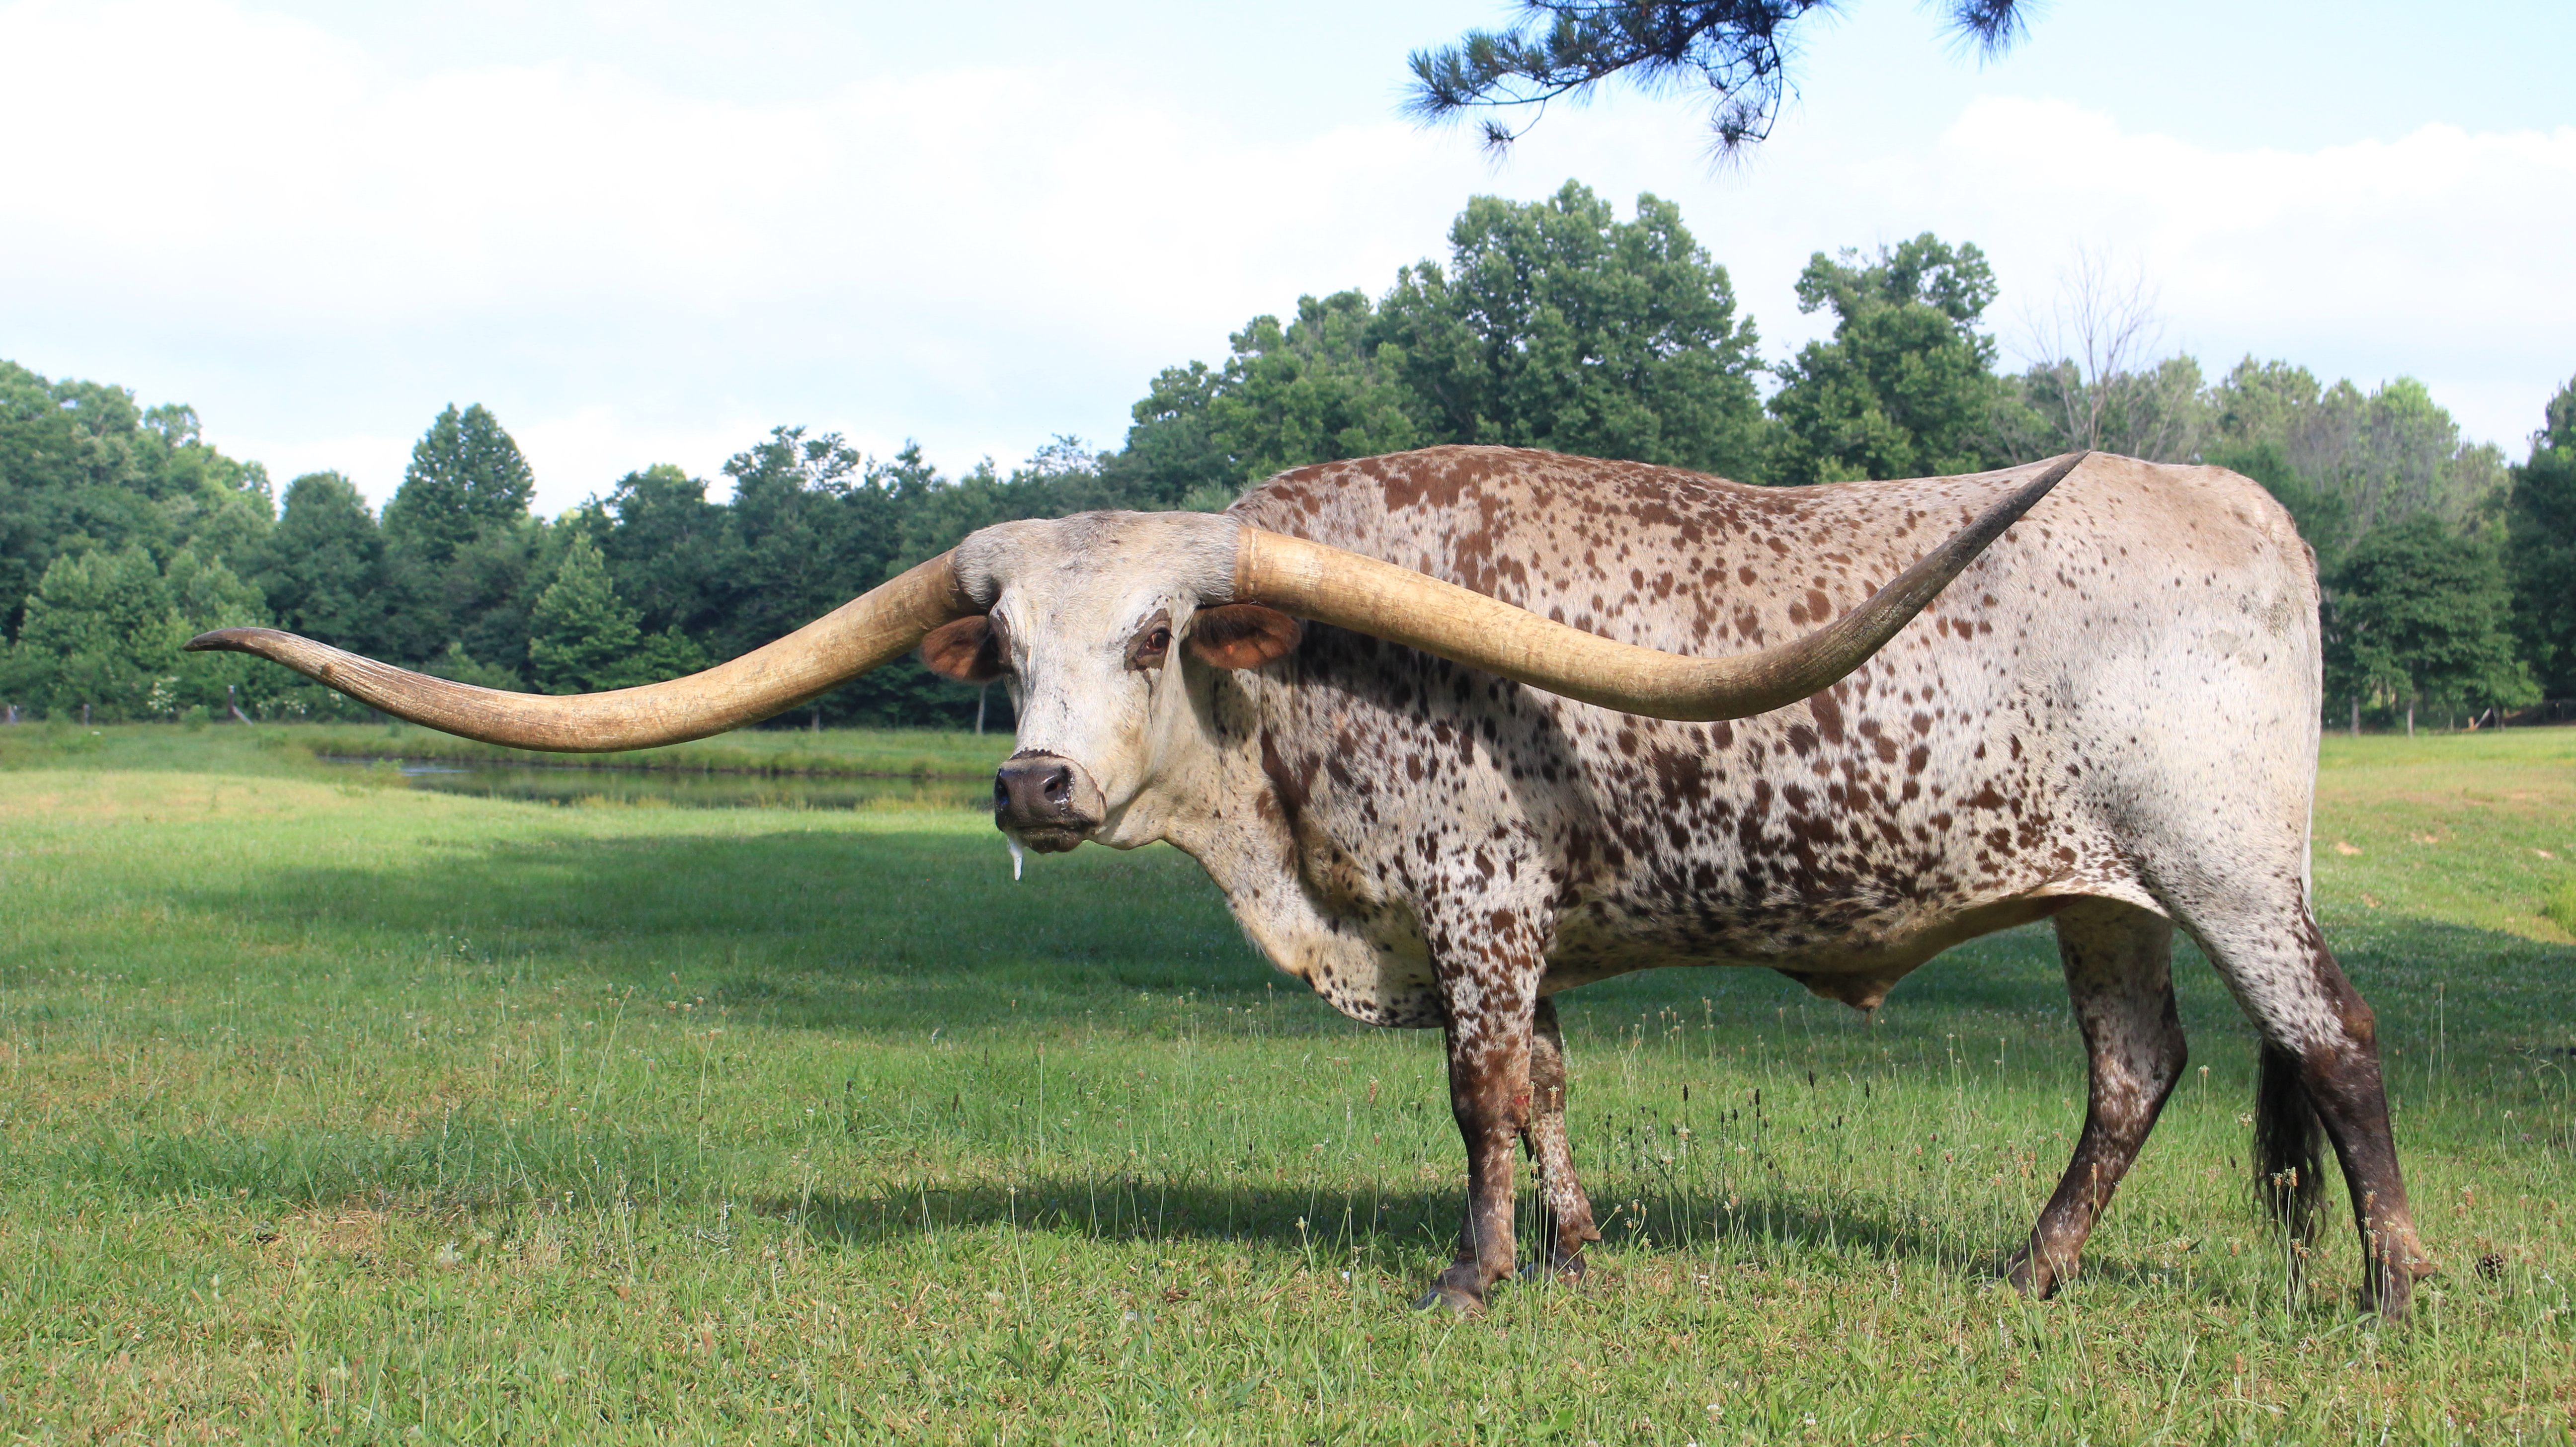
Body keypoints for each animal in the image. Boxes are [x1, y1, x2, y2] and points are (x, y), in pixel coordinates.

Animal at [190, 445, 2421, 1313]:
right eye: (1001, 652)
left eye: (1159, 637)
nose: (1032, 778)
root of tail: (2242, 506)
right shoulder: (1520, 939)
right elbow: (1550, 1084)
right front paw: (1579, 1251)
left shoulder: (1477, 901)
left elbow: (1479, 1092)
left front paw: (1475, 1275)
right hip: (2099, 894)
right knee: (2133, 1073)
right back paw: (2028, 1272)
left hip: (2227, 868)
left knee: (2339, 1042)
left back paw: (2391, 1288)